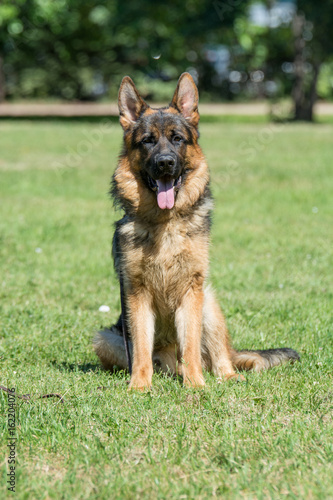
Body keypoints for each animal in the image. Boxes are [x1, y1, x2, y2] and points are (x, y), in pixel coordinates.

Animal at [92, 72, 298, 388]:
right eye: (147, 141)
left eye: (177, 139)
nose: (165, 163)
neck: (165, 223)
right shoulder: (136, 295)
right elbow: (140, 347)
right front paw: (139, 386)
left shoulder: (191, 291)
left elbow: (189, 343)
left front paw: (196, 386)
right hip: (105, 338)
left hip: (209, 304)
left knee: (218, 358)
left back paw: (225, 376)